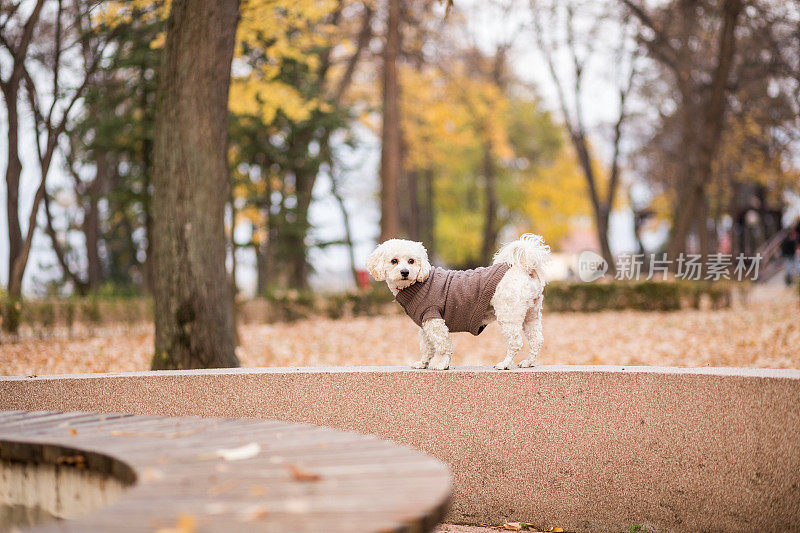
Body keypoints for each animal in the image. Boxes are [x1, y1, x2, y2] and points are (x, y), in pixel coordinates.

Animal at [368, 233, 552, 370]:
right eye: (394, 261)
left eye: (411, 261)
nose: (405, 272)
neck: (417, 284)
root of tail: (524, 269)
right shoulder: (426, 324)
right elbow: (427, 346)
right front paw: (423, 364)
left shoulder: (435, 320)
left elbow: (443, 346)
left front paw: (442, 365)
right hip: (531, 315)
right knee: (537, 340)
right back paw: (528, 363)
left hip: (509, 315)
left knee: (515, 343)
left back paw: (505, 364)